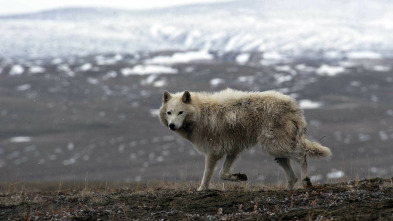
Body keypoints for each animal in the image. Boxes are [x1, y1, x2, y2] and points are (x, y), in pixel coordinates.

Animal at [158, 89, 330, 191]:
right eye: (169, 113)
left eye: (180, 112)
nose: (172, 126)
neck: (200, 115)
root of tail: (293, 105)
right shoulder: (233, 151)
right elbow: (223, 174)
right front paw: (239, 177)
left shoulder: (212, 152)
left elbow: (208, 173)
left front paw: (202, 189)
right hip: (277, 152)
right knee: (292, 176)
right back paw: (287, 190)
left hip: (275, 147)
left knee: (301, 156)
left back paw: (306, 180)